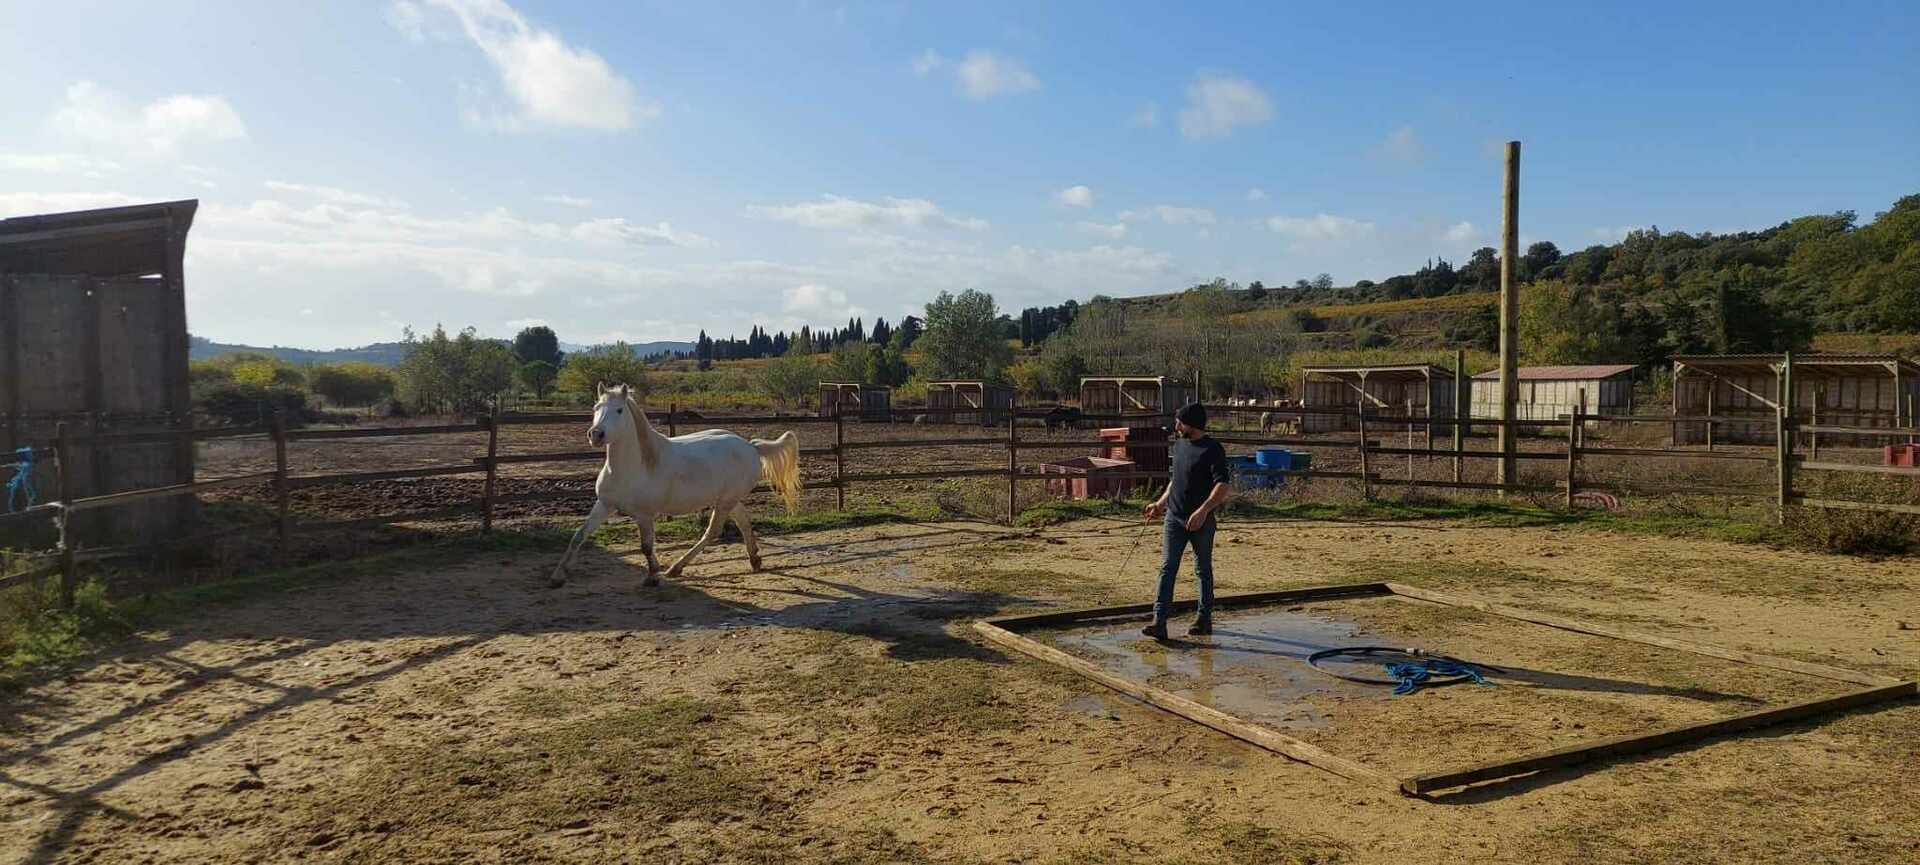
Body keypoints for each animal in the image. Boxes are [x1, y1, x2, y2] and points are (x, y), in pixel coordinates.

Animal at [549, 385, 802, 590]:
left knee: (713, 532)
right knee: (743, 520)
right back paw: (754, 560)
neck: (635, 466)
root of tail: (751, 447)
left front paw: (653, 577)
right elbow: (579, 536)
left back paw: (676, 568)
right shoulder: (604, 505)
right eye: (596, 407)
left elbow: (646, 546)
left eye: (619, 410)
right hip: (727, 499)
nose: (596, 435)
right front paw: (558, 577)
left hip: (725, 502)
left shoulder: (644, 515)